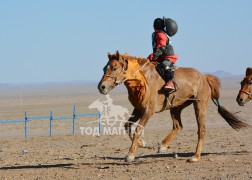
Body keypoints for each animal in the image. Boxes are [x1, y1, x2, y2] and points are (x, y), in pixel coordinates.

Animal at [97, 50, 249, 162]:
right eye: (104, 68)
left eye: (114, 67)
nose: (102, 87)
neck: (143, 80)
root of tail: (204, 77)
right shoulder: (138, 109)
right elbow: (127, 125)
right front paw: (142, 143)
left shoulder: (148, 111)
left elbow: (138, 130)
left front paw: (130, 155)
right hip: (176, 107)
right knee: (178, 126)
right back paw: (163, 146)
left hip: (199, 105)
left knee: (201, 130)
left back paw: (195, 157)